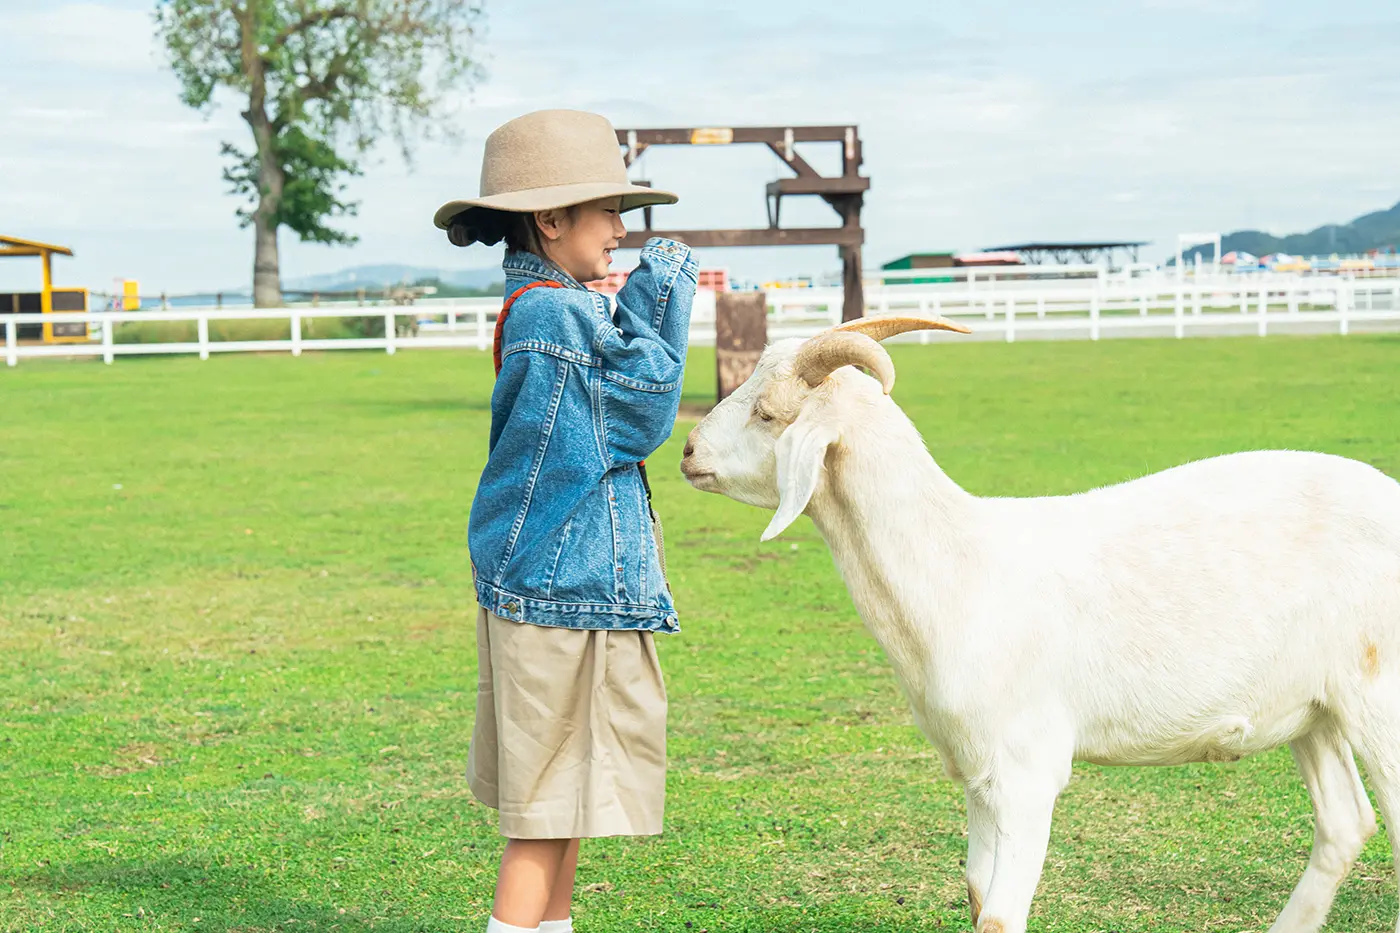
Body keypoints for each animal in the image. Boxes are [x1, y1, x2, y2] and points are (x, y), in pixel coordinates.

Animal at [679, 316, 1400, 933]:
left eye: (769, 412)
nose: (687, 451)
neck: (957, 565)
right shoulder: (975, 769)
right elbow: (977, 895)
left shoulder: (1027, 767)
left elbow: (1000, 916)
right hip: (1313, 708)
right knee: (1346, 822)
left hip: (1378, 694)